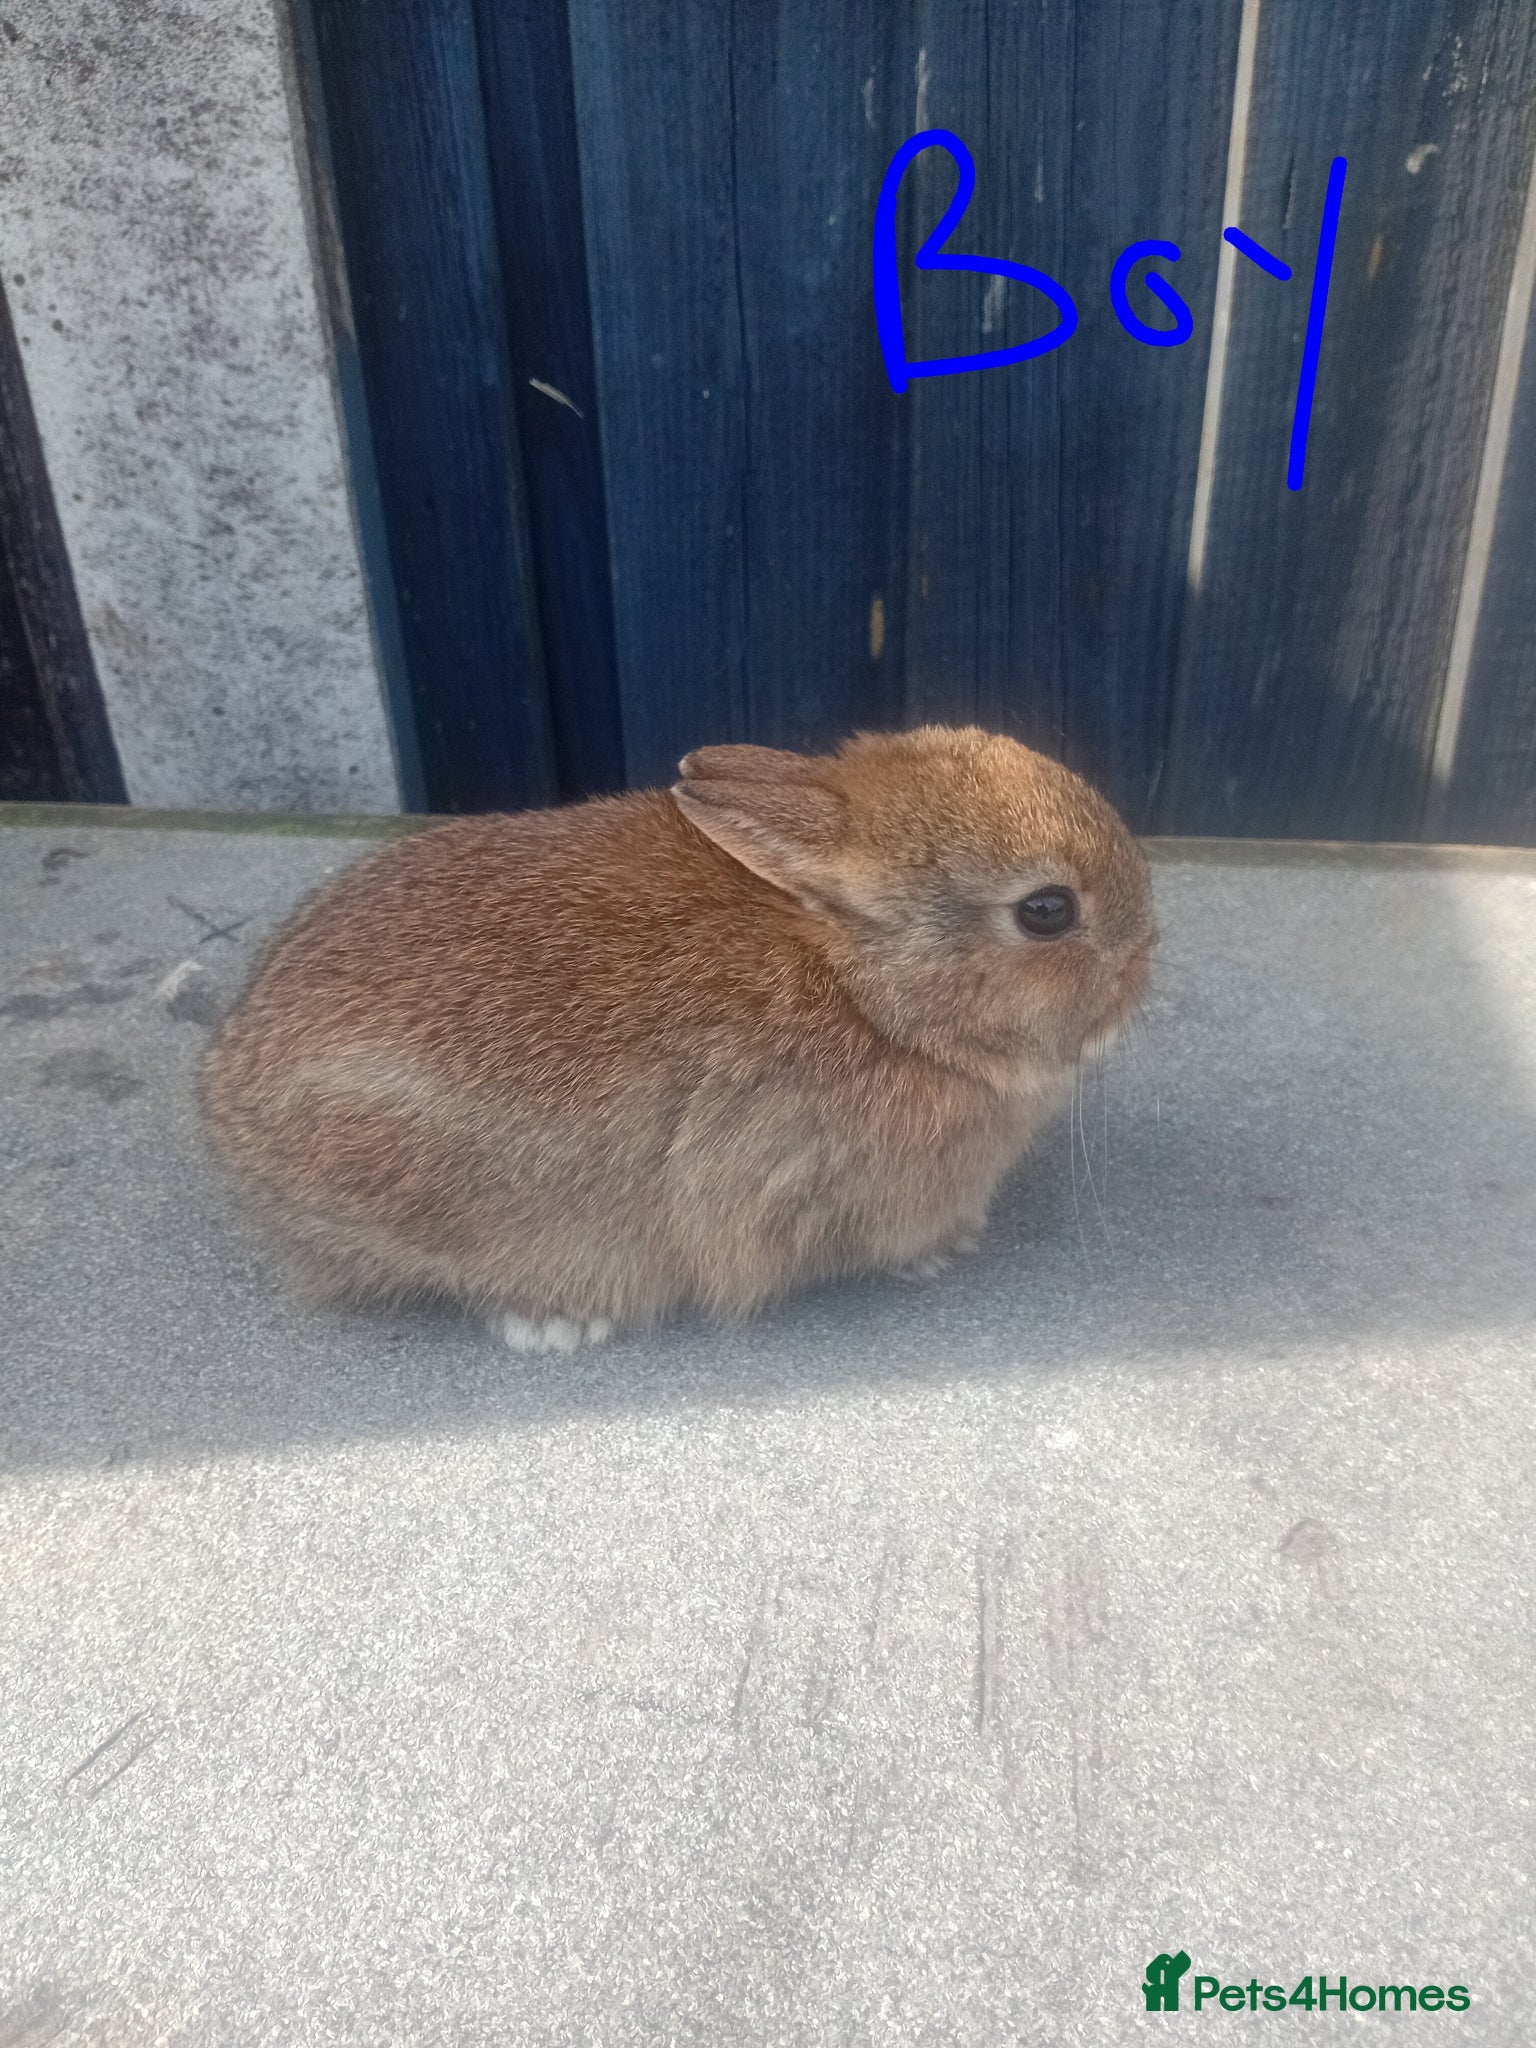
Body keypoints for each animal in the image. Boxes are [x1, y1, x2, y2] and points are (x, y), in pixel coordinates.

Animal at [201, 725, 1155, 1350]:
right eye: (1046, 911)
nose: (1144, 966)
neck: (866, 988)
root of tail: (230, 1119)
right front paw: (940, 1251)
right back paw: (556, 1324)